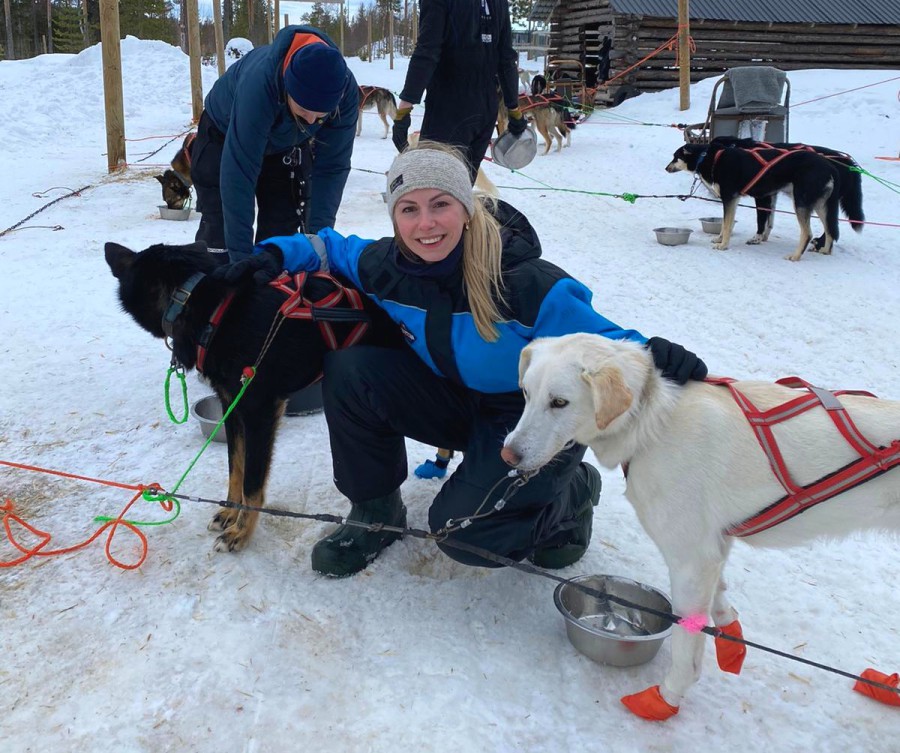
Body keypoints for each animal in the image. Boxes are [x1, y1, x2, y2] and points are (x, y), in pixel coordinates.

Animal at [502, 334, 896, 716]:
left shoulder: (690, 561)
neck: (652, 419)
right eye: (526, 393)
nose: (508, 454)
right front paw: (729, 635)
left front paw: (666, 697)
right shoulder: (713, 546)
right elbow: (720, 596)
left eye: (559, 402)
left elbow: (687, 643)